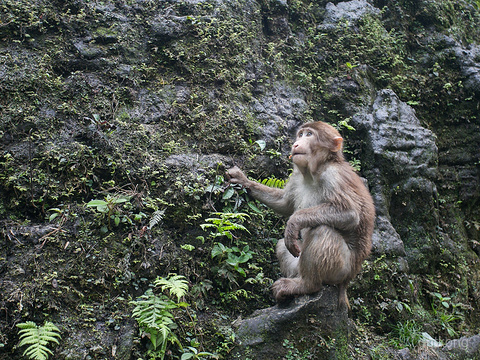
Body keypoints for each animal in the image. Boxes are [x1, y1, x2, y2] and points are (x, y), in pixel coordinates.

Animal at [227, 121, 376, 310]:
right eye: (300, 134)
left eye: (309, 135)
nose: (296, 144)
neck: (314, 172)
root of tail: (348, 280)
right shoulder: (297, 176)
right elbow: (284, 203)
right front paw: (244, 181)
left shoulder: (334, 176)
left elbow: (350, 214)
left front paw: (294, 222)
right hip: (300, 261)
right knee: (283, 244)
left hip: (341, 270)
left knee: (322, 230)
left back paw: (307, 285)